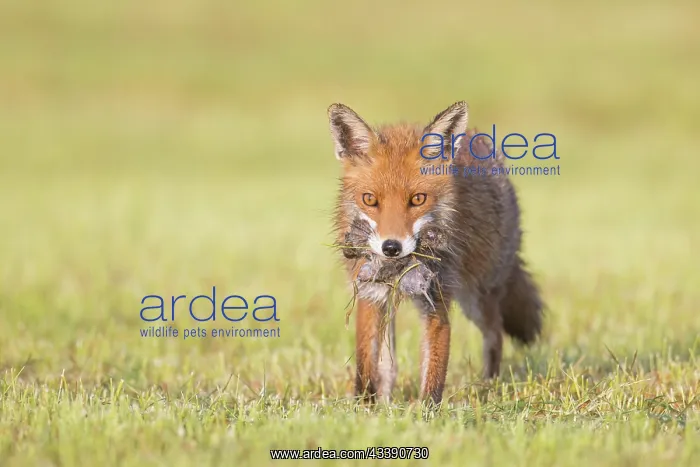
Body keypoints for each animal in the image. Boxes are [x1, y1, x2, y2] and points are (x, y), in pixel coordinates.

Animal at [328, 101, 544, 405]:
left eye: (418, 199)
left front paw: (427, 410)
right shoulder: (371, 296)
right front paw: (365, 406)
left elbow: (434, 369)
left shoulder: (436, 299)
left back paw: (487, 386)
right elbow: (367, 365)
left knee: (495, 333)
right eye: (369, 199)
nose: (391, 247)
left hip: (476, 299)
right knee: (388, 363)